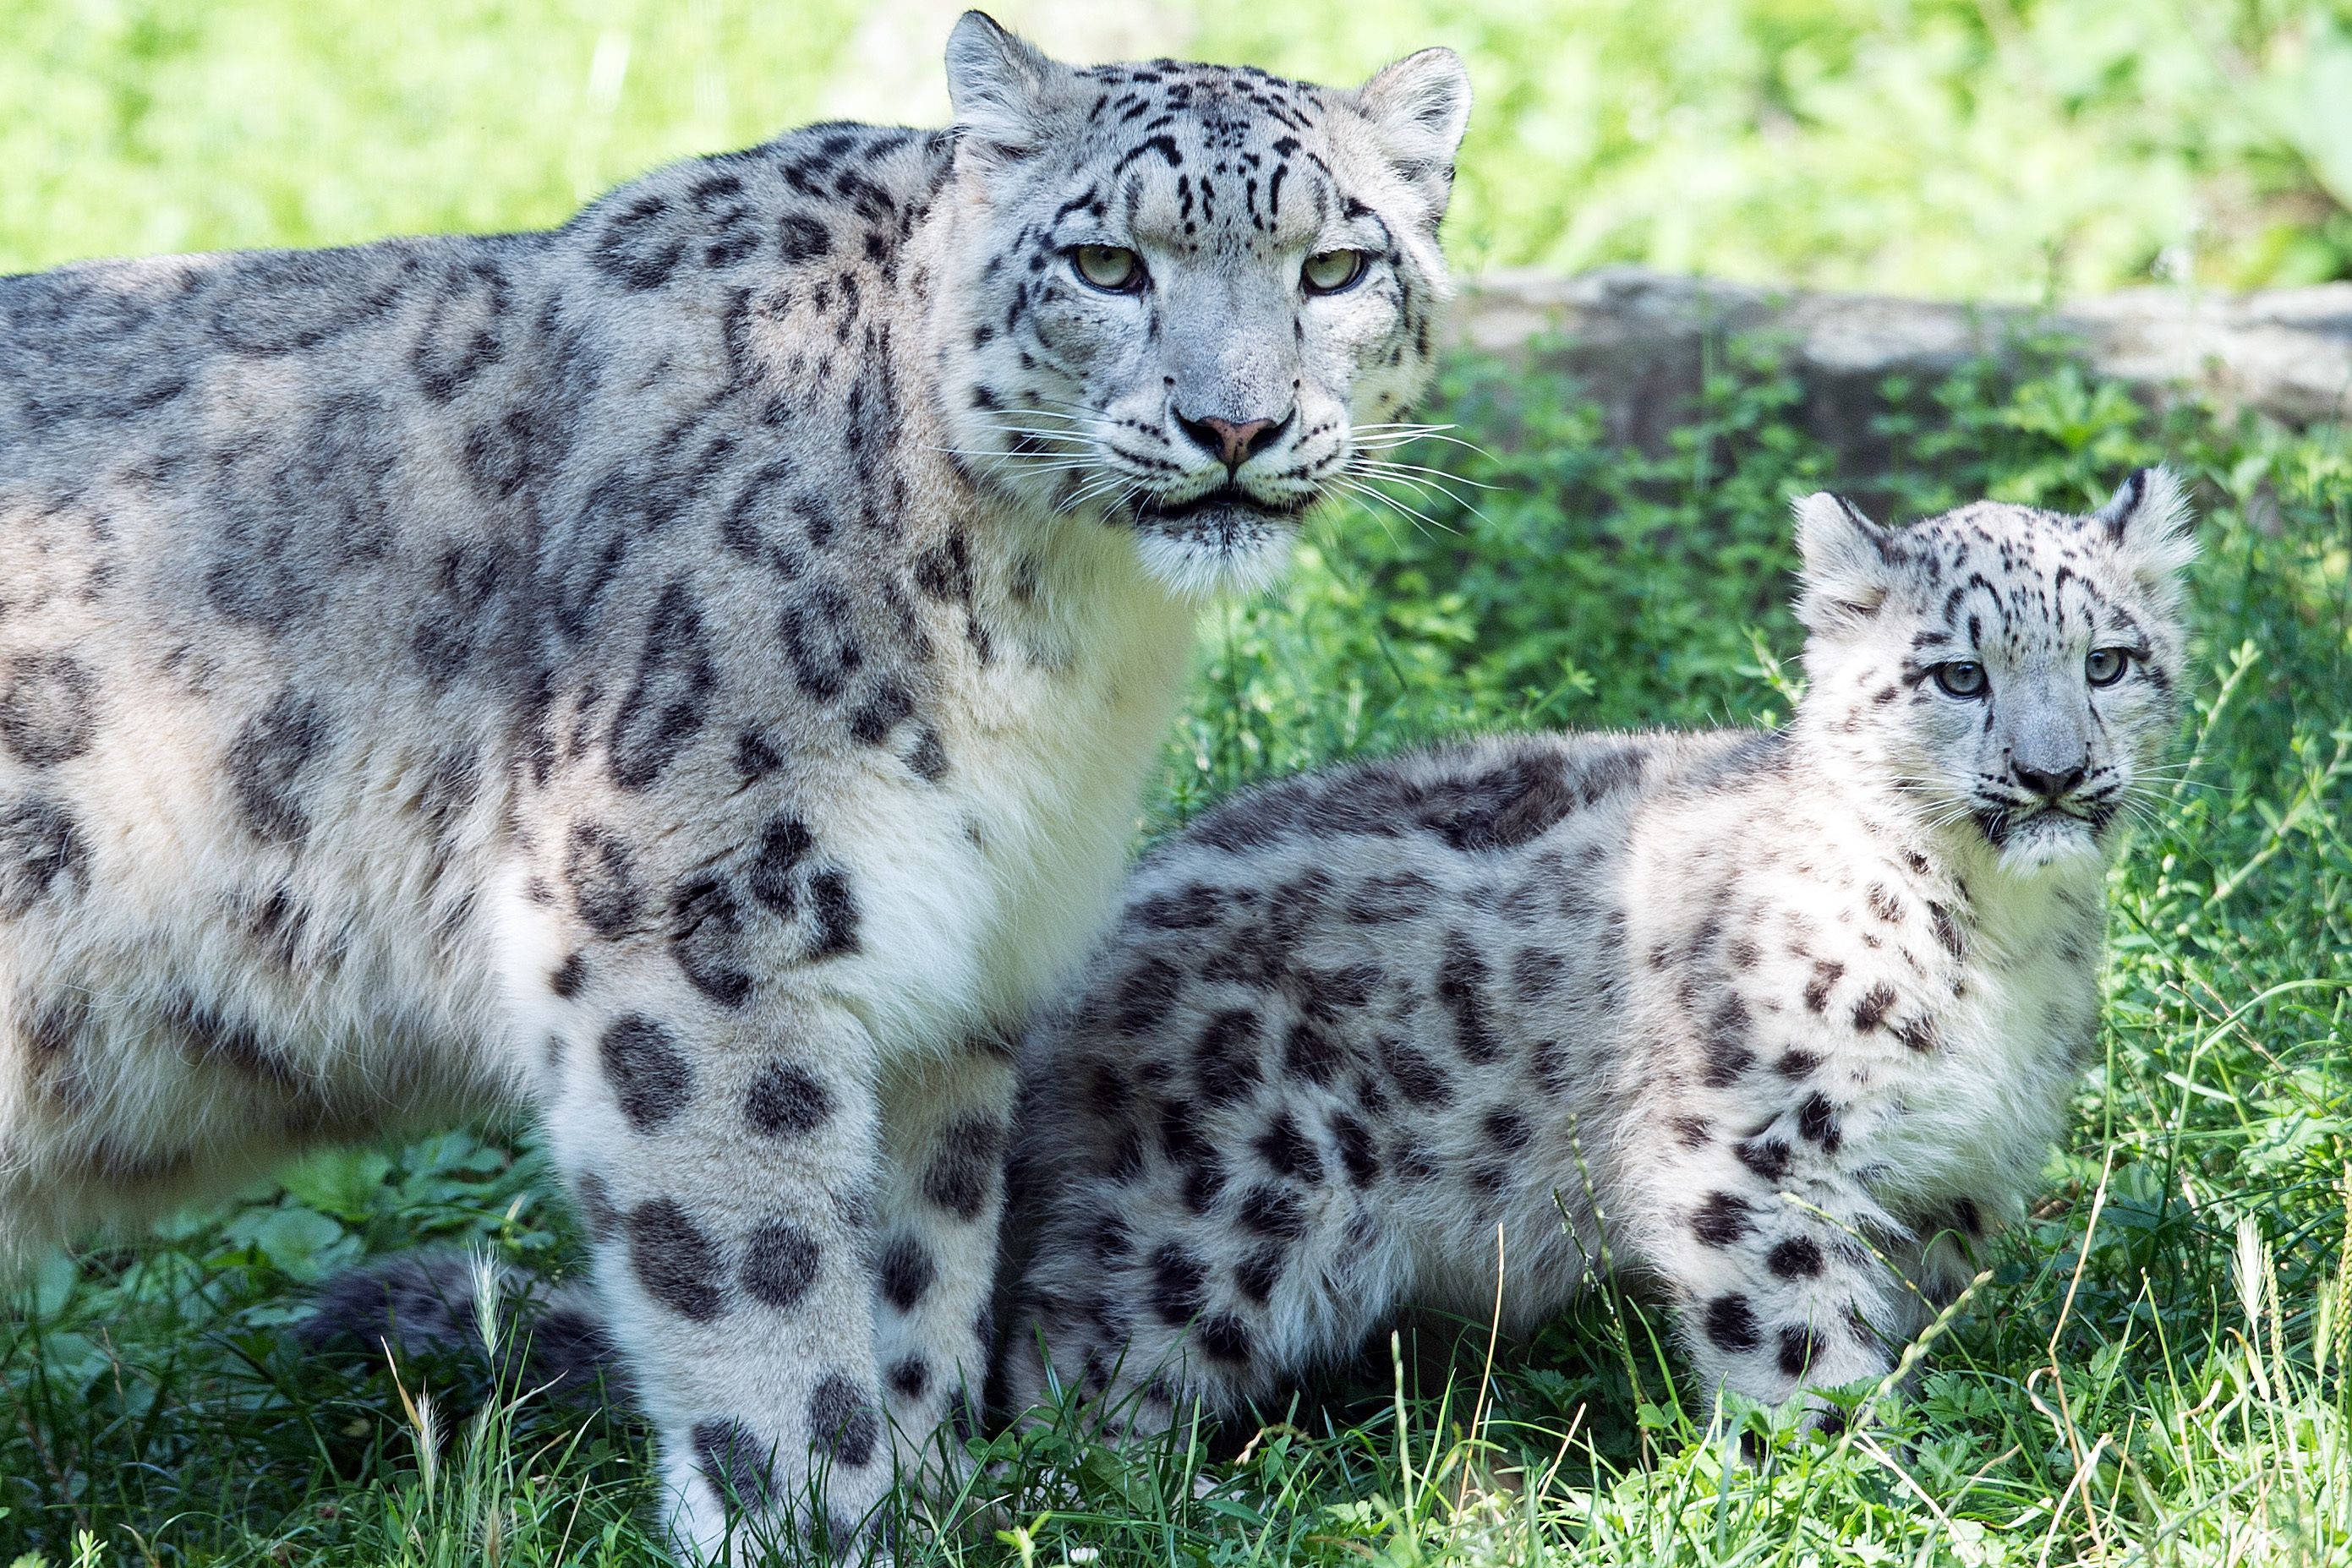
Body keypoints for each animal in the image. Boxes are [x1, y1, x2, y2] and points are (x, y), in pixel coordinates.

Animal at [0, 12, 1467, 1560]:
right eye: (1107, 264)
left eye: (1335, 267)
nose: (1233, 426)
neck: (1060, 641)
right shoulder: (705, 928)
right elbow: (762, 1279)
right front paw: (815, 1515)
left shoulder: (952, 970)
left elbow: (913, 1264)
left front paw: (923, 1489)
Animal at [997, 473, 2182, 1439]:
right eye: (1958, 675)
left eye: (2108, 662)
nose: (2051, 774)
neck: (2003, 943)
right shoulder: (1759, 1151)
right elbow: (1796, 1337)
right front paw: (1846, 1474)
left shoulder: (1952, 1176)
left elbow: (1906, 1315)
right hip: (1222, 1206)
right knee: (1073, 1369)